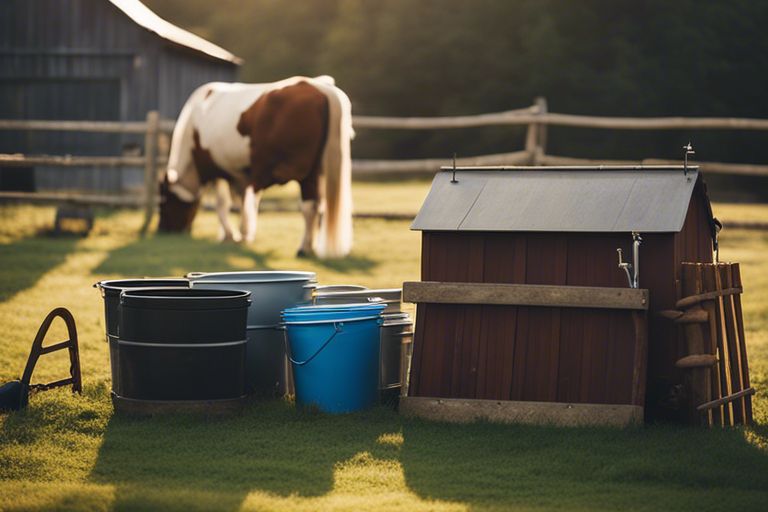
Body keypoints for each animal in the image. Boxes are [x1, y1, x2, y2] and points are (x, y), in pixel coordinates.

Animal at [161, 76, 356, 258]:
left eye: (164, 201)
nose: (162, 230)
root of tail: (323, 88)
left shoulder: (219, 171)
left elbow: (223, 204)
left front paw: (234, 235)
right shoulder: (238, 175)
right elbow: (239, 203)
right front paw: (237, 234)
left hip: (292, 173)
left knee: (293, 204)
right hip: (311, 173)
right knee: (313, 207)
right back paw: (306, 247)